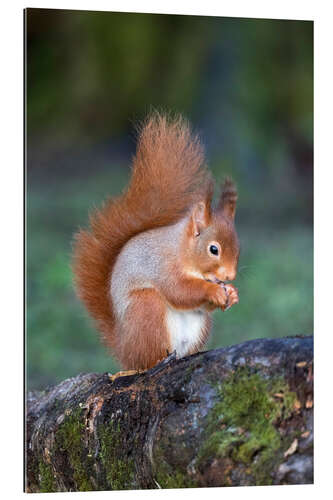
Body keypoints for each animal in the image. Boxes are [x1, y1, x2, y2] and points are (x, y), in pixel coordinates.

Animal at [72, 113, 239, 372]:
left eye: (238, 247)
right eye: (214, 249)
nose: (230, 276)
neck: (183, 249)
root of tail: (124, 348)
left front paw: (231, 293)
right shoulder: (163, 265)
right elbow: (180, 290)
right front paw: (213, 290)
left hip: (199, 327)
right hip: (146, 309)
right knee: (147, 359)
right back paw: (156, 360)